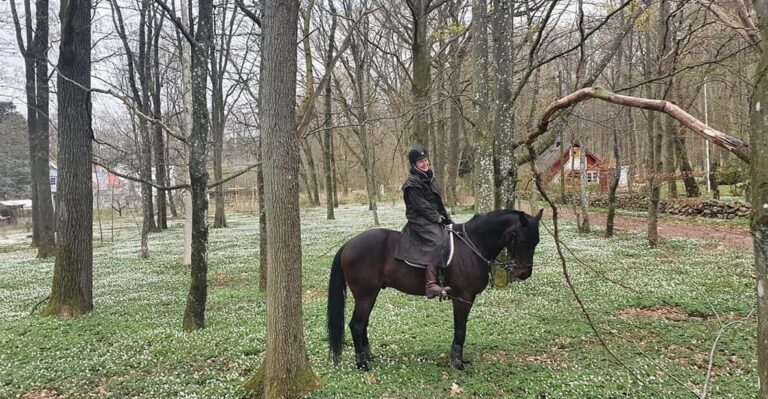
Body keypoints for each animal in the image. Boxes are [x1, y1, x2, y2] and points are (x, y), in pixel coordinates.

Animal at [328, 209, 544, 372]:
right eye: (523, 240)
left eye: (537, 241)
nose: (524, 273)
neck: (472, 246)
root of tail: (348, 244)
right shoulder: (463, 297)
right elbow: (460, 329)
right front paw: (457, 362)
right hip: (365, 295)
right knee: (356, 325)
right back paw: (362, 363)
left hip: (370, 295)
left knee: (363, 324)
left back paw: (368, 356)